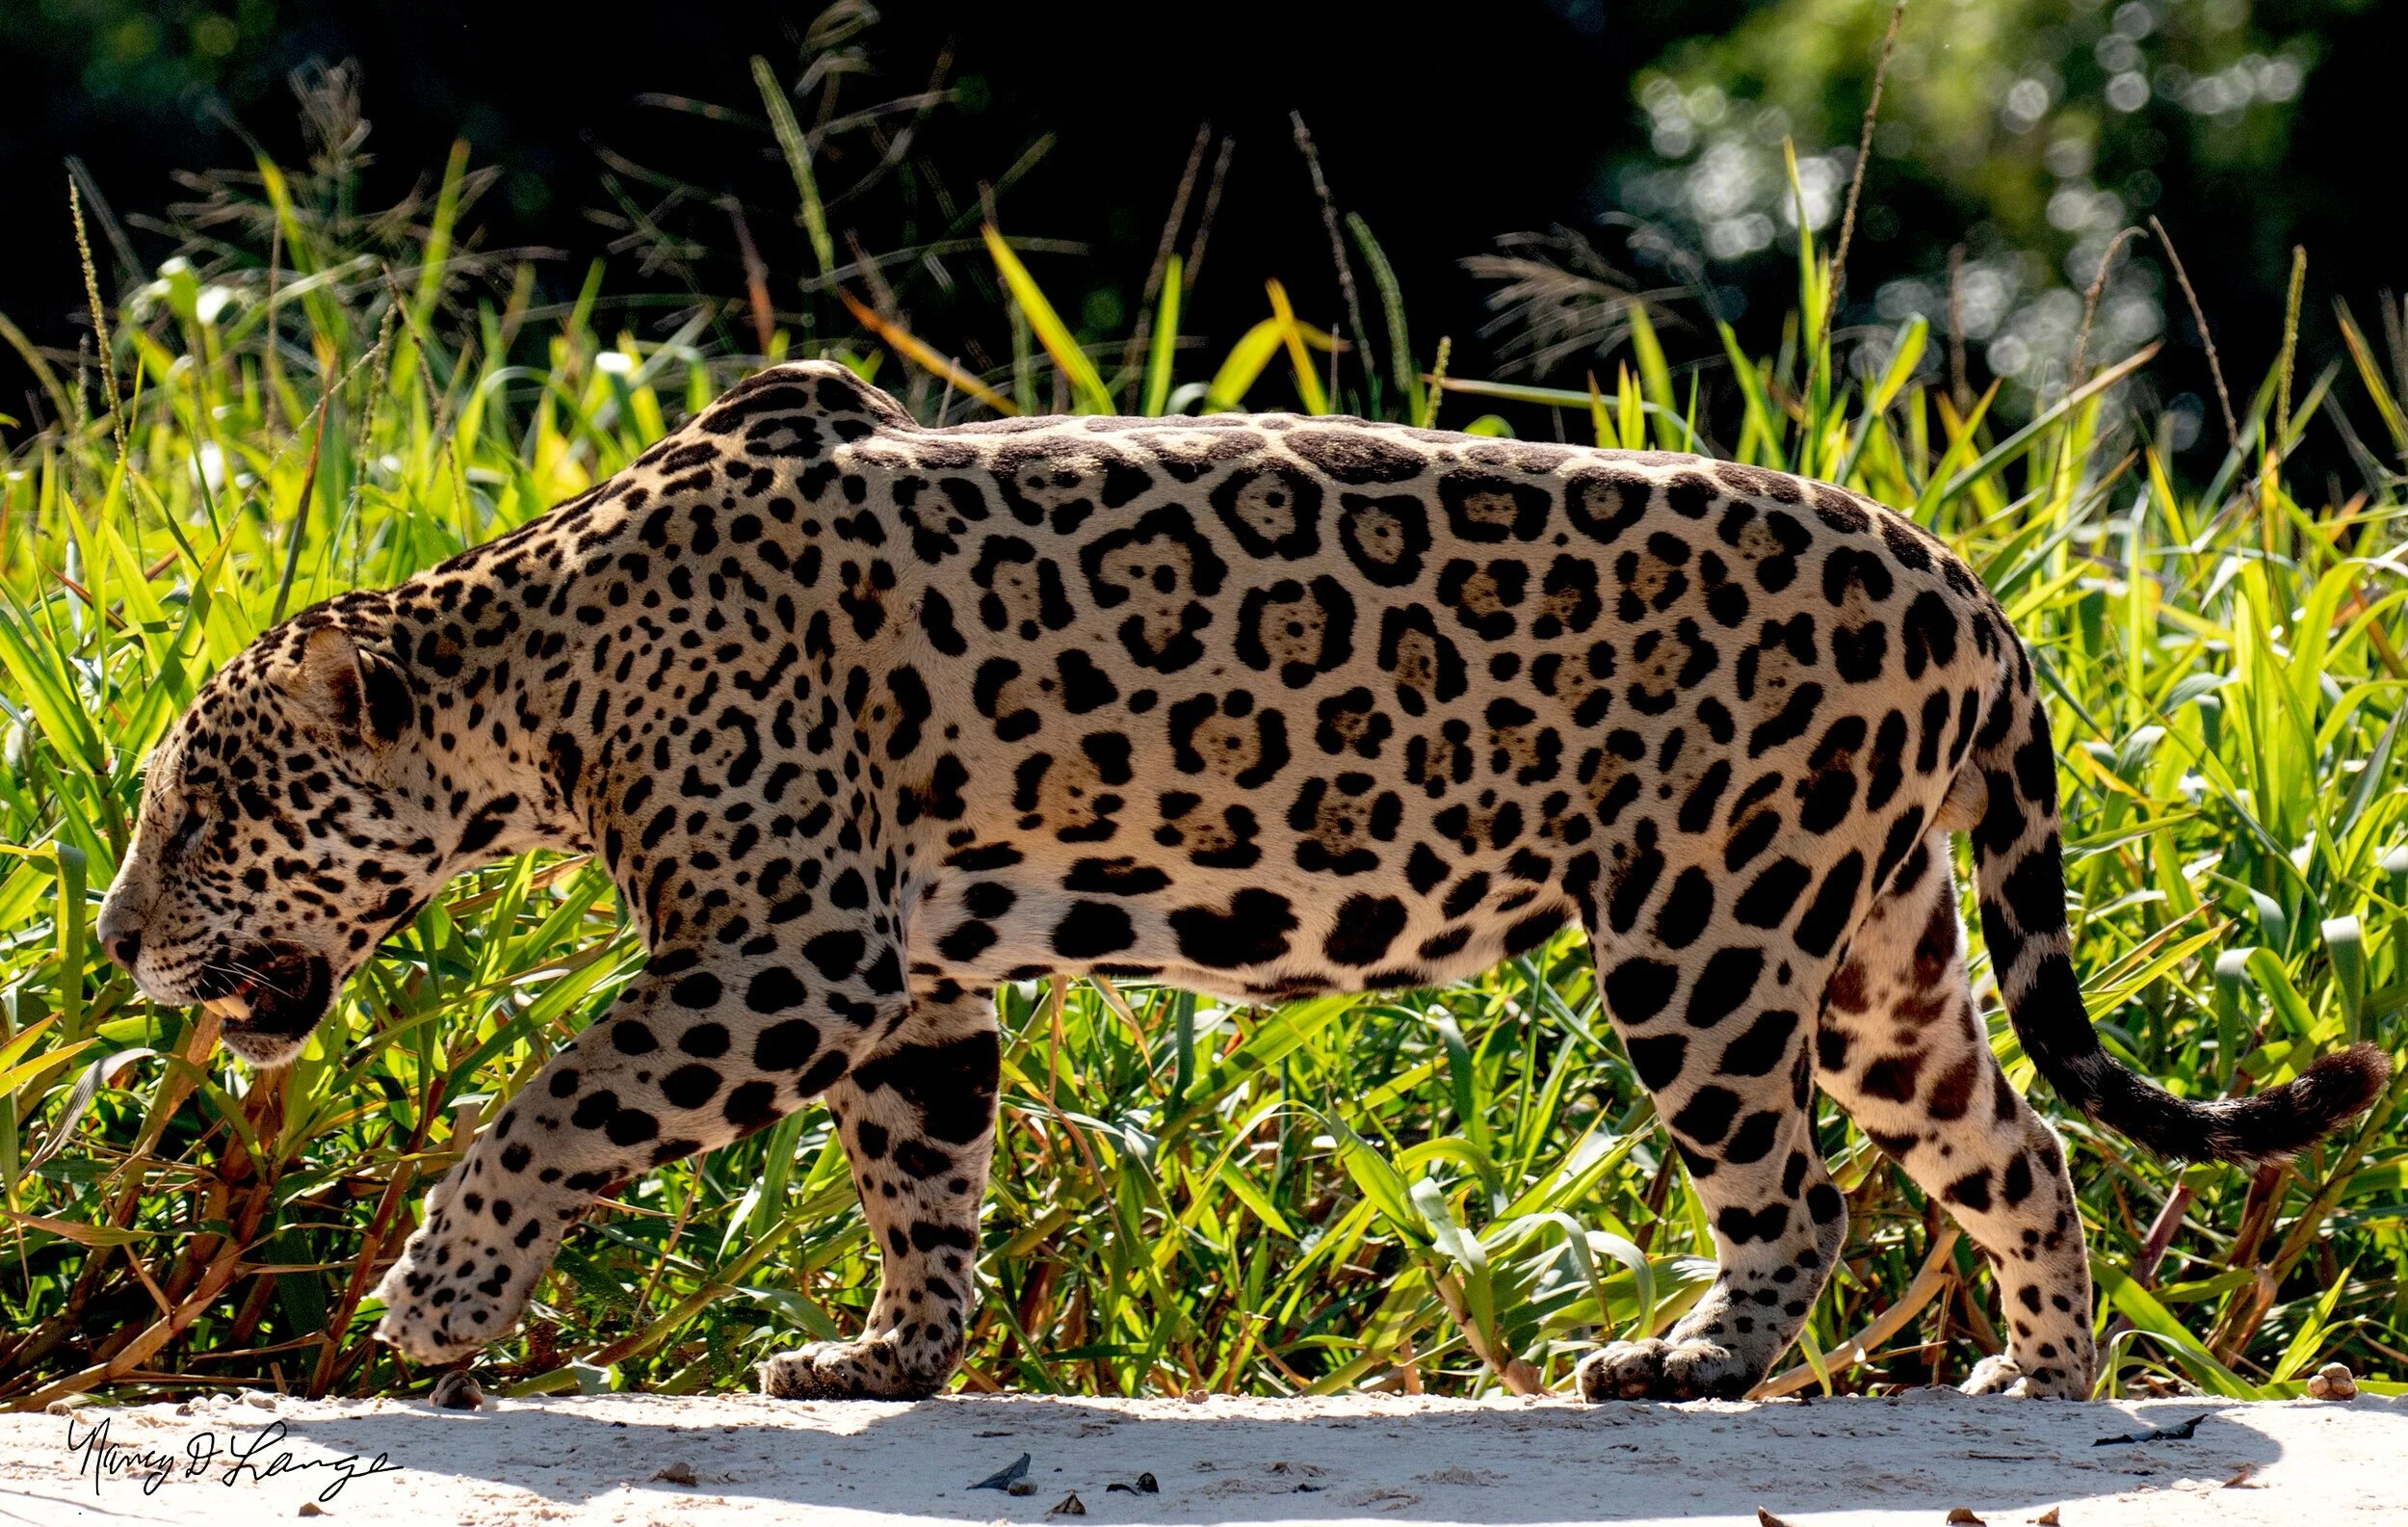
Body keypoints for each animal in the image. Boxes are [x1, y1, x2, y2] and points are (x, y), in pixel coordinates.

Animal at [95, 360, 2386, 1404]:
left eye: (197, 814)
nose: (112, 946)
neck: (543, 684)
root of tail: (1967, 583)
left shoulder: (790, 945)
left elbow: (560, 1101)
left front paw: (440, 1295)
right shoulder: (907, 974)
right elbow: (921, 1174)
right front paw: (889, 1361)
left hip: (1705, 926)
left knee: (1796, 1190)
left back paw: (1692, 1362)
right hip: (1878, 947)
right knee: (2008, 1137)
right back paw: (2043, 1375)